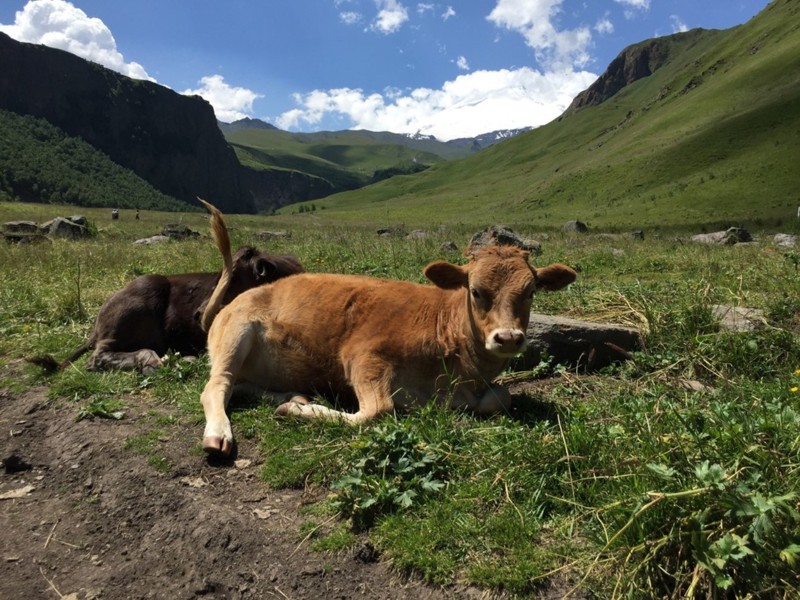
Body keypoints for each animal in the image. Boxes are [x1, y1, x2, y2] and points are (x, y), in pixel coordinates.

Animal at [29, 202, 302, 372]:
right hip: (144, 292)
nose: (198, 314)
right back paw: (153, 360)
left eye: (233, 277)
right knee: (99, 357)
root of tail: (98, 321)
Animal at [199, 220, 576, 454]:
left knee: (240, 385)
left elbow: (502, 397)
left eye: (530, 292)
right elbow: (376, 412)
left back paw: (294, 395)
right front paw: (297, 413)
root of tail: (231, 302)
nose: (508, 338)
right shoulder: (364, 356)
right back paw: (219, 433)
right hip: (235, 334)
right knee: (217, 385)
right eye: (476, 291)